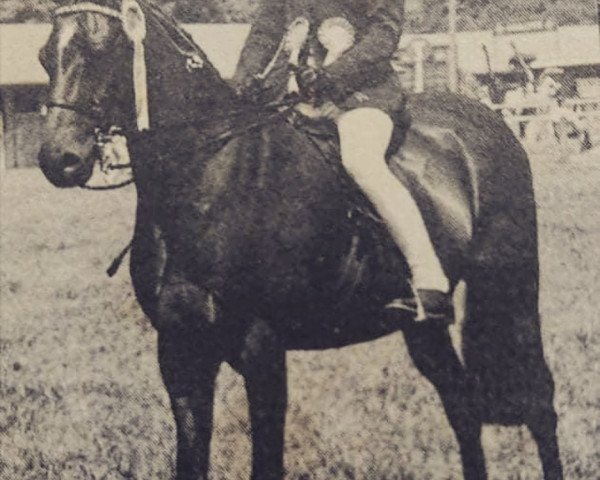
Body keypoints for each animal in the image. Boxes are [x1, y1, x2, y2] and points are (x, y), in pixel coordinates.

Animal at [37, 0, 564, 480]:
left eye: (103, 48)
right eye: (46, 55)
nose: (59, 160)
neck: (209, 176)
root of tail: (489, 121)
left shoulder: (262, 349)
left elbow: (267, 461)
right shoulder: (180, 350)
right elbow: (190, 459)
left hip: (512, 291)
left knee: (539, 402)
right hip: (424, 327)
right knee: (462, 407)